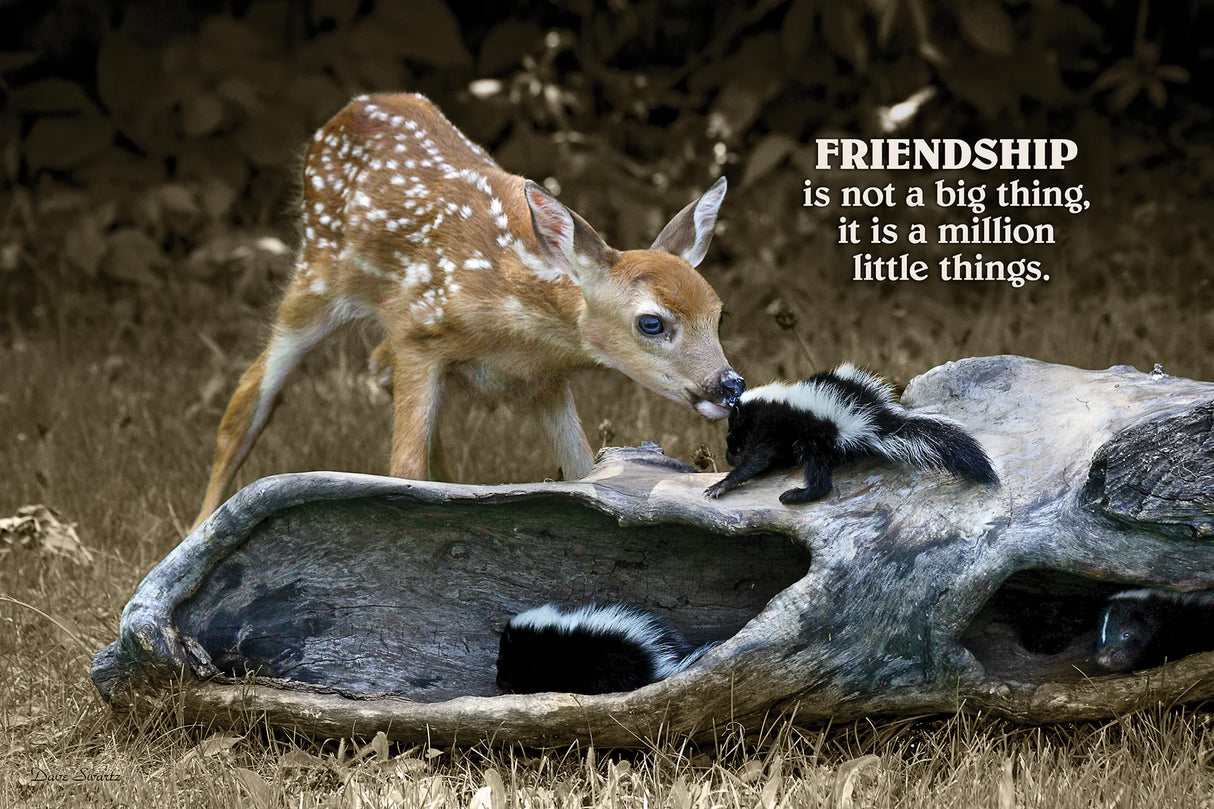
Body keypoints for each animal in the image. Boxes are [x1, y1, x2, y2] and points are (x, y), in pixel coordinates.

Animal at [194, 93, 744, 527]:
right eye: (651, 322)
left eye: (720, 314)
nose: (730, 384)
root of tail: (350, 108)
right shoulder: (419, 332)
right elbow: (403, 470)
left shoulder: (546, 380)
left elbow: (585, 473)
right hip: (318, 272)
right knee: (248, 398)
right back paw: (196, 532)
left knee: (377, 370)